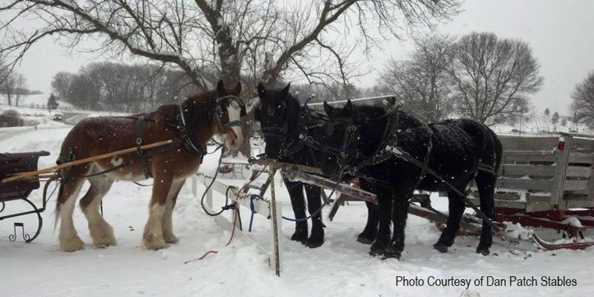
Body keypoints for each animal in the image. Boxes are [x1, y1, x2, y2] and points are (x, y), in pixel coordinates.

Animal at [53, 80, 243, 250]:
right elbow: (159, 205)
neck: (181, 130)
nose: (236, 140)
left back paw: (103, 238)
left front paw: (168, 236)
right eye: (222, 110)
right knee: (66, 204)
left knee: (87, 203)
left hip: (102, 177)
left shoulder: (178, 178)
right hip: (76, 173)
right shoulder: (164, 174)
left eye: (241, 110)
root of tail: (74, 131)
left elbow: (169, 206)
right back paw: (70, 242)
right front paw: (155, 241)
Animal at [250, 82, 324, 246]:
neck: (300, 138)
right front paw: (300, 234)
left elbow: (313, 205)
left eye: (282, 108)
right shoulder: (290, 178)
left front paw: (316, 239)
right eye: (262, 110)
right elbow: (298, 204)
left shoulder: (312, 178)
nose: (272, 151)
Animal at [310, 100, 500, 258]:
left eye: (349, 130)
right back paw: (444, 242)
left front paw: (394, 250)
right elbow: (384, 213)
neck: (393, 143)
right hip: (457, 182)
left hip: (486, 179)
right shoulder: (383, 187)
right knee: (457, 208)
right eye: (324, 131)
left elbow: (398, 215)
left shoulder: (404, 188)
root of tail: (490, 132)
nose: (328, 167)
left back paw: (484, 245)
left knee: (488, 210)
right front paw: (379, 245)